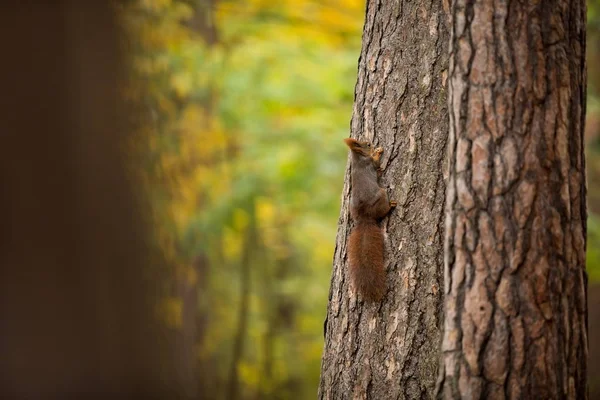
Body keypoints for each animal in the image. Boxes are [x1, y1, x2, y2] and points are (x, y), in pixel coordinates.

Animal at [344, 138, 396, 300]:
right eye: (367, 145)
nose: (371, 142)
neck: (358, 157)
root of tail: (364, 218)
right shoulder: (370, 163)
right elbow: (377, 163)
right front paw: (378, 151)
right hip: (382, 194)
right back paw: (391, 206)